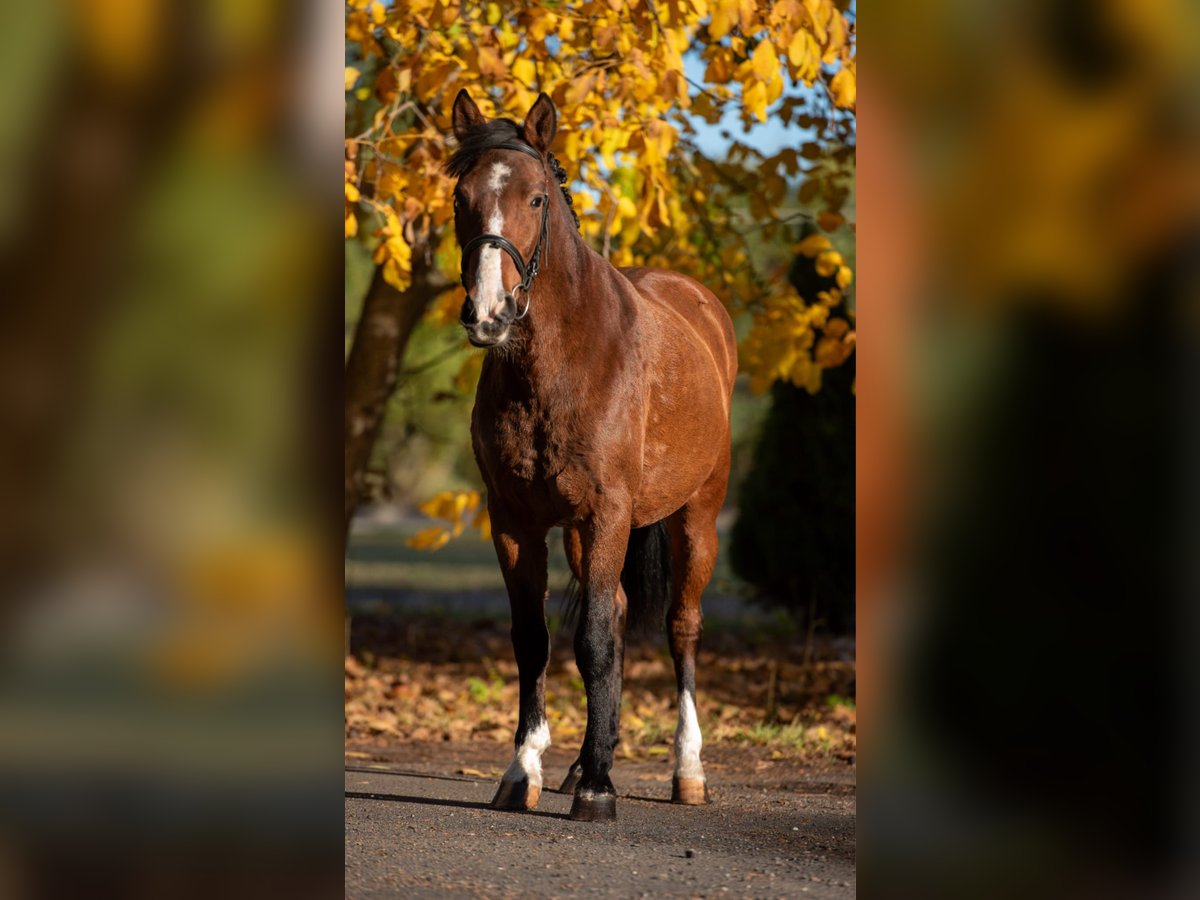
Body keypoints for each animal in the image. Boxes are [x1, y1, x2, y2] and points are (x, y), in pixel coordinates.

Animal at [447, 89, 736, 822]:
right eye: (461, 196)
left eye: (536, 197)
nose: (488, 313)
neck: (563, 363)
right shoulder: (515, 521)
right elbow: (535, 639)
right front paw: (526, 771)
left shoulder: (608, 513)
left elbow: (596, 640)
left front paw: (601, 789)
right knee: (622, 614)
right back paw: (583, 761)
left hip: (697, 516)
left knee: (680, 626)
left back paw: (685, 771)